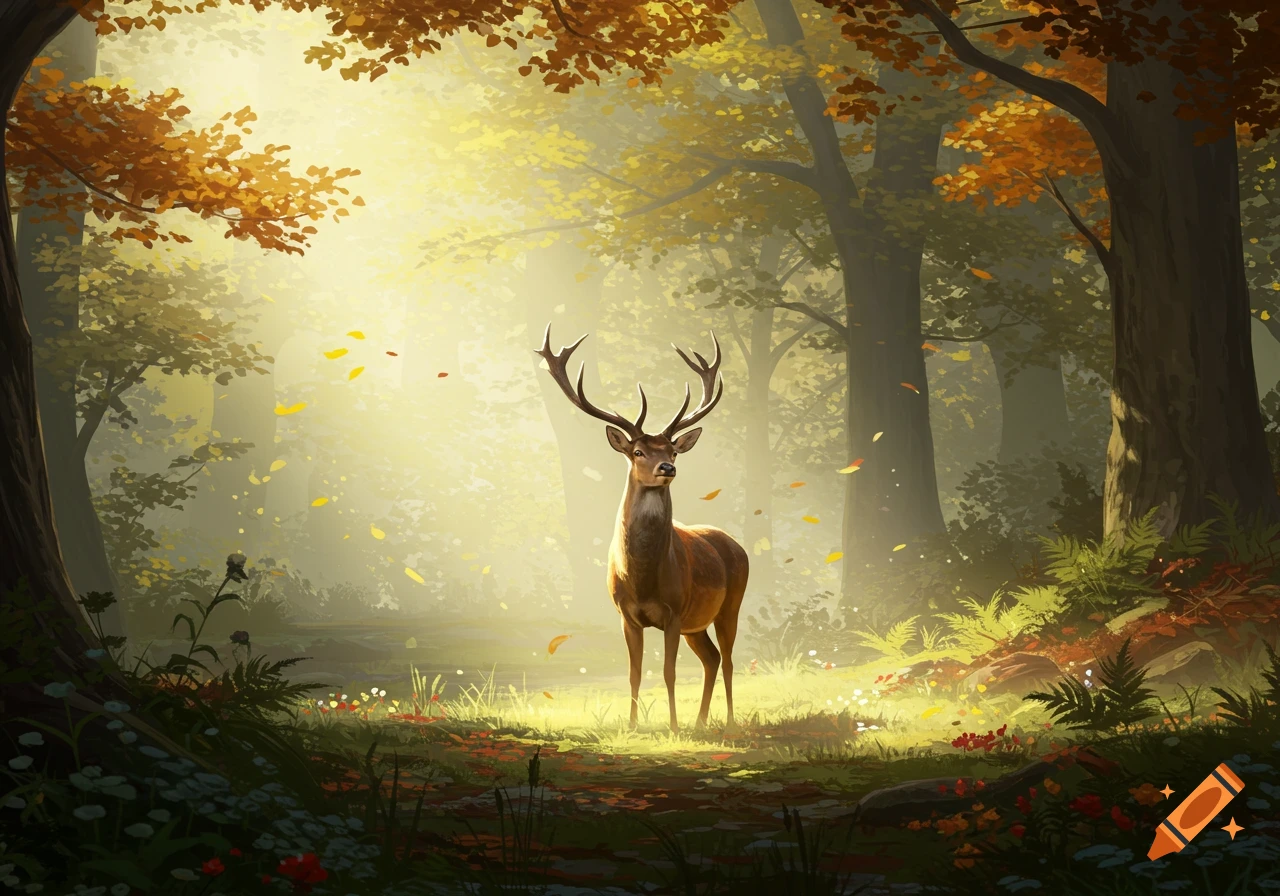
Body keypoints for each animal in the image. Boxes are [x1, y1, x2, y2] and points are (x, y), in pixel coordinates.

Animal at [537, 325, 749, 734]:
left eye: (673, 450)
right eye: (638, 452)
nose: (667, 468)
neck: (642, 578)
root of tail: (736, 544)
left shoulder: (674, 611)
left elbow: (668, 672)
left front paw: (673, 726)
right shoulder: (626, 615)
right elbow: (634, 673)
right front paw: (634, 725)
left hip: (731, 603)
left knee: (730, 659)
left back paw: (729, 720)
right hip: (697, 624)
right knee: (712, 658)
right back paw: (701, 720)